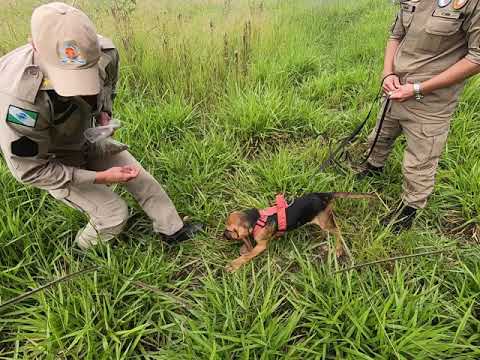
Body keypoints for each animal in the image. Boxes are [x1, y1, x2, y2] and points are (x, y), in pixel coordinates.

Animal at [223, 193, 376, 272]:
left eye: (229, 230)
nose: (223, 235)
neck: (257, 219)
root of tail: (324, 195)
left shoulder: (261, 245)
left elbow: (249, 255)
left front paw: (234, 264)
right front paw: (245, 248)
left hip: (324, 222)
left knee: (338, 230)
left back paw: (338, 248)